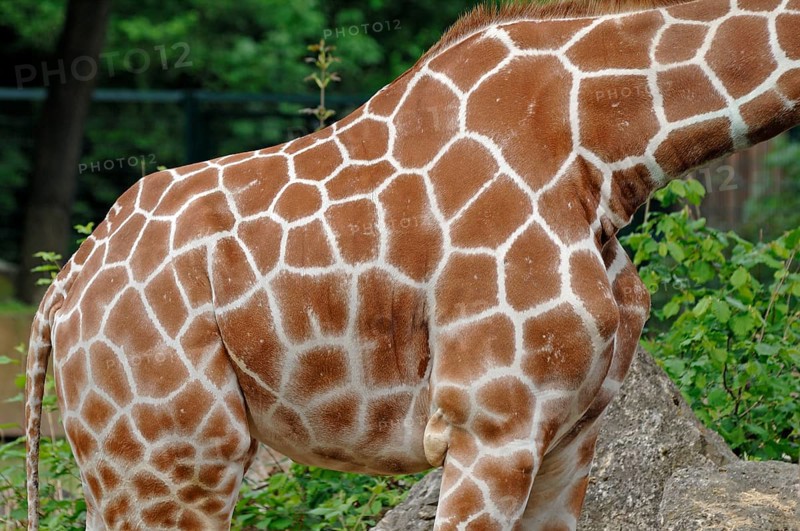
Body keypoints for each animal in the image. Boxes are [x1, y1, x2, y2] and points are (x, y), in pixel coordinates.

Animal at [24, 0, 800, 528]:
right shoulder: (491, 422)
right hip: (173, 459)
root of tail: (60, 293)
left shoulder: (574, 433)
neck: (606, 153)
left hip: (125, 462)